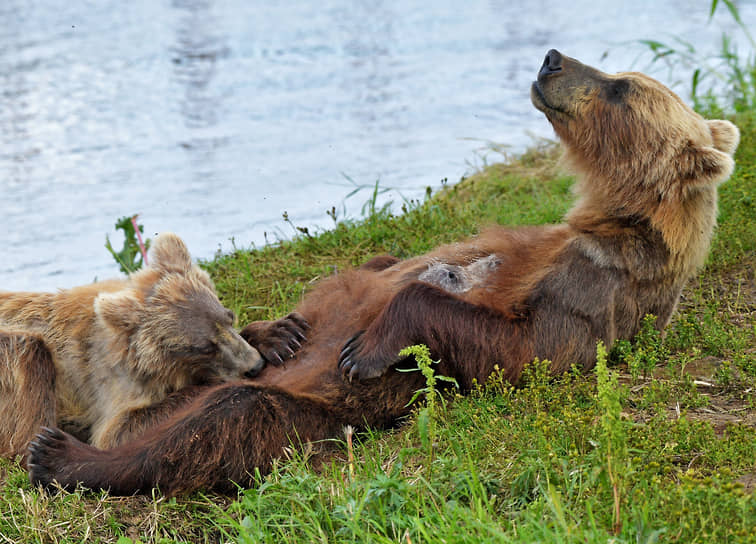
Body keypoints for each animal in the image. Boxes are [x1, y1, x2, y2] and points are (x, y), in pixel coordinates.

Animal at [0, 232, 307, 460]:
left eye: (229, 316)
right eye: (203, 347)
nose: (254, 366)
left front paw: (281, 334)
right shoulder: (104, 382)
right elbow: (118, 430)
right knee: (31, 354)